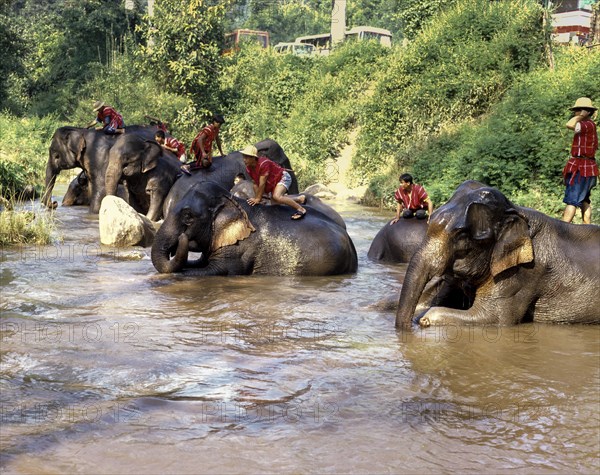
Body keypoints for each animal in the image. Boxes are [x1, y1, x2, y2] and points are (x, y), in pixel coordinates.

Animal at [394, 180, 600, 330]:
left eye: (462, 235)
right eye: (431, 220)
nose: (406, 329)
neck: (515, 211)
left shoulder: (524, 272)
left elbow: (493, 317)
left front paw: (424, 319)